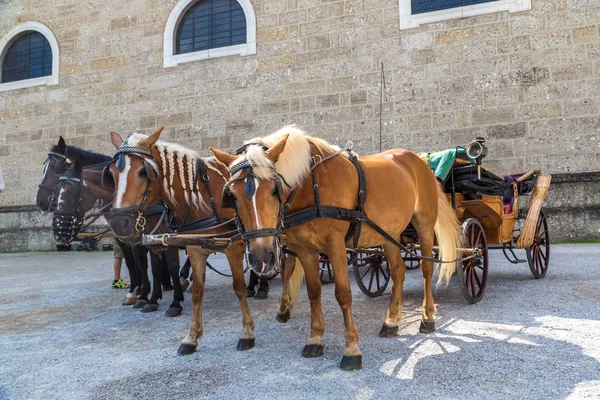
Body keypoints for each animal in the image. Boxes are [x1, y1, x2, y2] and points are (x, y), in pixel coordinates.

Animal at [105, 127, 302, 354]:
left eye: (143, 172)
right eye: (111, 173)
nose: (119, 222)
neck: (201, 198)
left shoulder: (233, 247)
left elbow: (238, 287)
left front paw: (246, 332)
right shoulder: (195, 248)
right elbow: (197, 291)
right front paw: (192, 337)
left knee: (286, 266)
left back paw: (279, 302)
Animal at [211, 126, 460, 370]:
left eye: (275, 190)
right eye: (233, 196)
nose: (262, 257)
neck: (312, 186)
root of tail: (418, 160)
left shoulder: (336, 246)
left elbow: (343, 294)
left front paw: (351, 349)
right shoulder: (305, 249)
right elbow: (313, 291)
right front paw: (315, 339)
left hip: (424, 225)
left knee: (426, 269)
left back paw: (427, 318)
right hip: (388, 232)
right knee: (398, 271)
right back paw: (391, 321)